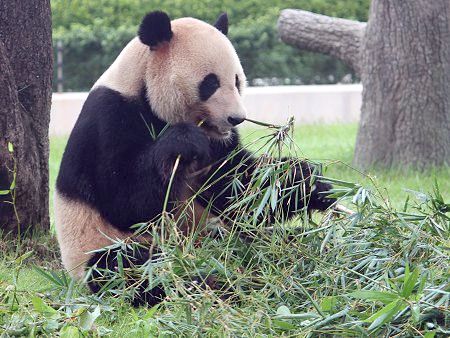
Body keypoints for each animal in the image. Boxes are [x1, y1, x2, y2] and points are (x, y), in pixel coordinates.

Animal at [53, 11, 334, 306]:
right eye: (210, 83)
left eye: (237, 81)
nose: (236, 118)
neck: (142, 84)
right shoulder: (109, 119)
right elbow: (125, 201)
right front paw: (183, 142)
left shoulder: (220, 145)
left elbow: (238, 191)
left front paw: (309, 182)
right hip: (101, 245)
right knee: (134, 270)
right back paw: (212, 285)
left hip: (219, 230)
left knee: (272, 237)